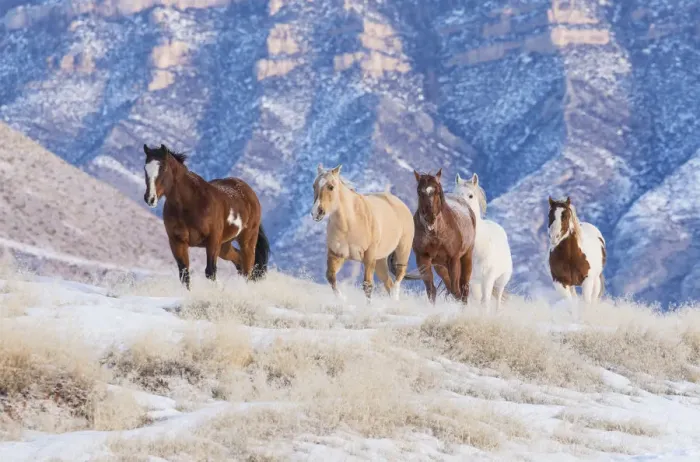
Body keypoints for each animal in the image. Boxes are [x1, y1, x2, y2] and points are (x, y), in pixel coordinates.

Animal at [142, 143, 269, 289]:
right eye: (145, 168)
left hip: (247, 240)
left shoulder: (212, 241)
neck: (191, 204)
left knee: (248, 268)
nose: (150, 198)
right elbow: (184, 275)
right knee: (239, 261)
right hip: (224, 246)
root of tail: (249, 192)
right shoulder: (177, 242)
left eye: (163, 168)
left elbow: (210, 272)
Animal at [311, 164, 414, 302]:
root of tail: (400, 204)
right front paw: (343, 300)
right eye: (314, 185)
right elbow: (331, 277)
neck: (350, 224)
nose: (316, 212)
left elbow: (367, 286)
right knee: (388, 282)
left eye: (331, 186)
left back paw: (395, 297)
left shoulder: (369, 257)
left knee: (399, 275)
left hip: (403, 249)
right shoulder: (336, 254)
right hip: (380, 260)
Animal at [403, 169, 476, 304]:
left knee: (463, 289)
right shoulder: (423, 259)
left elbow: (456, 292)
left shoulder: (454, 259)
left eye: (436, 190)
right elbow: (431, 290)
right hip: (440, 266)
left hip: (466, 257)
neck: (436, 235)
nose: (430, 218)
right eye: (419, 191)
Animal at [453, 172, 512, 311]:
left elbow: (485, 303)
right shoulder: (466, 279)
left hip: (501, 280)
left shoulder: (488, 277)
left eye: (470, 195)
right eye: (455, 194)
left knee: (498, 298)